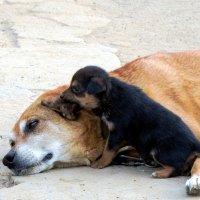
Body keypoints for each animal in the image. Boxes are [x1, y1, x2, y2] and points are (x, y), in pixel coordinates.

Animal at [60, 66, 200, 178]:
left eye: (76, 89)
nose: (61, 96)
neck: (110, 95)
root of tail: (194, 143)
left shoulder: (117, 133)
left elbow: (107, 150)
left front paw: (100, 163)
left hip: (160, 151)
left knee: (175, 166)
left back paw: (160, 173)